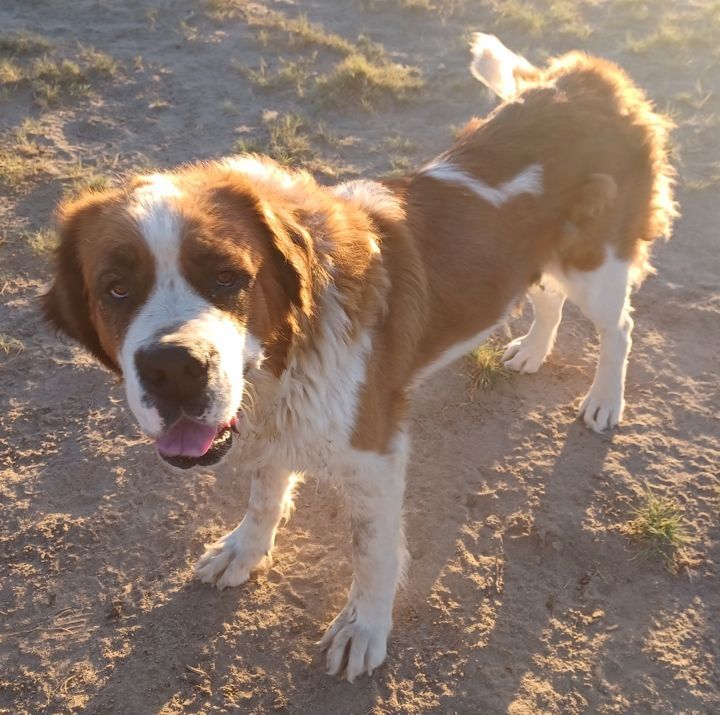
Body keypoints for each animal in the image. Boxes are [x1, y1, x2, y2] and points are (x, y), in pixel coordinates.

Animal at [43, 35, 676, 684]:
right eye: (116, 289)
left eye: (227, 277)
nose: (172, 369)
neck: (286, 355)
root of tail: (588, 76)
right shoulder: (279, 422)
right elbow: (265, 493)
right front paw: (245, 550)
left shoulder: (373, 453)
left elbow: (372, 552)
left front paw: (364, 628)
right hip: (541, 259)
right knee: (547, 296)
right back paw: (532, 349)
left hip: (596, 264)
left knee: (620, 328)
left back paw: (604, 400)